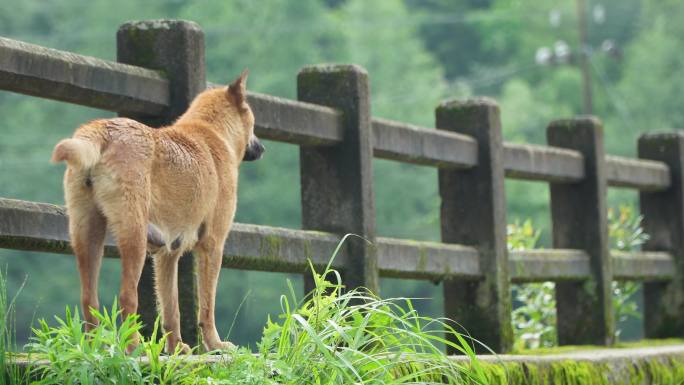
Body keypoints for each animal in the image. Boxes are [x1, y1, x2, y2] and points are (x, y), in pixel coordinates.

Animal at [50, 70, 264, 352]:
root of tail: (100, 132)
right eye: (252, 118)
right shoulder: (213, 245)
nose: (262, 148)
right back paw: (133, 347)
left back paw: (92, 348)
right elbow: (207, 305)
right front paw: (214, 344)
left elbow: (171, 307)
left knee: (89, 298)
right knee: (127, 296)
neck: (211, 131)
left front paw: (176, 349)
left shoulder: (167, 255)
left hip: (87, 235)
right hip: (134, 236)